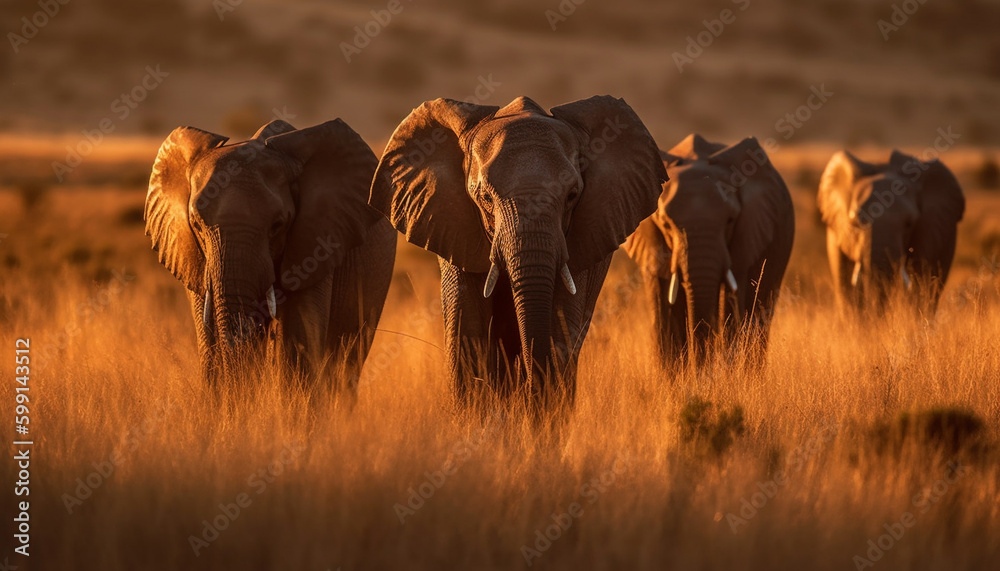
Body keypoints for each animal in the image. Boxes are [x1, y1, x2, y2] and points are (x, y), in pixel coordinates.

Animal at [816, 150, 964, 312]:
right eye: (856, 223)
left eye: (909, 224)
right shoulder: (835, 231)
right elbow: (845, 286)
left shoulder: (930, 227)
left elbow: (923, 280)